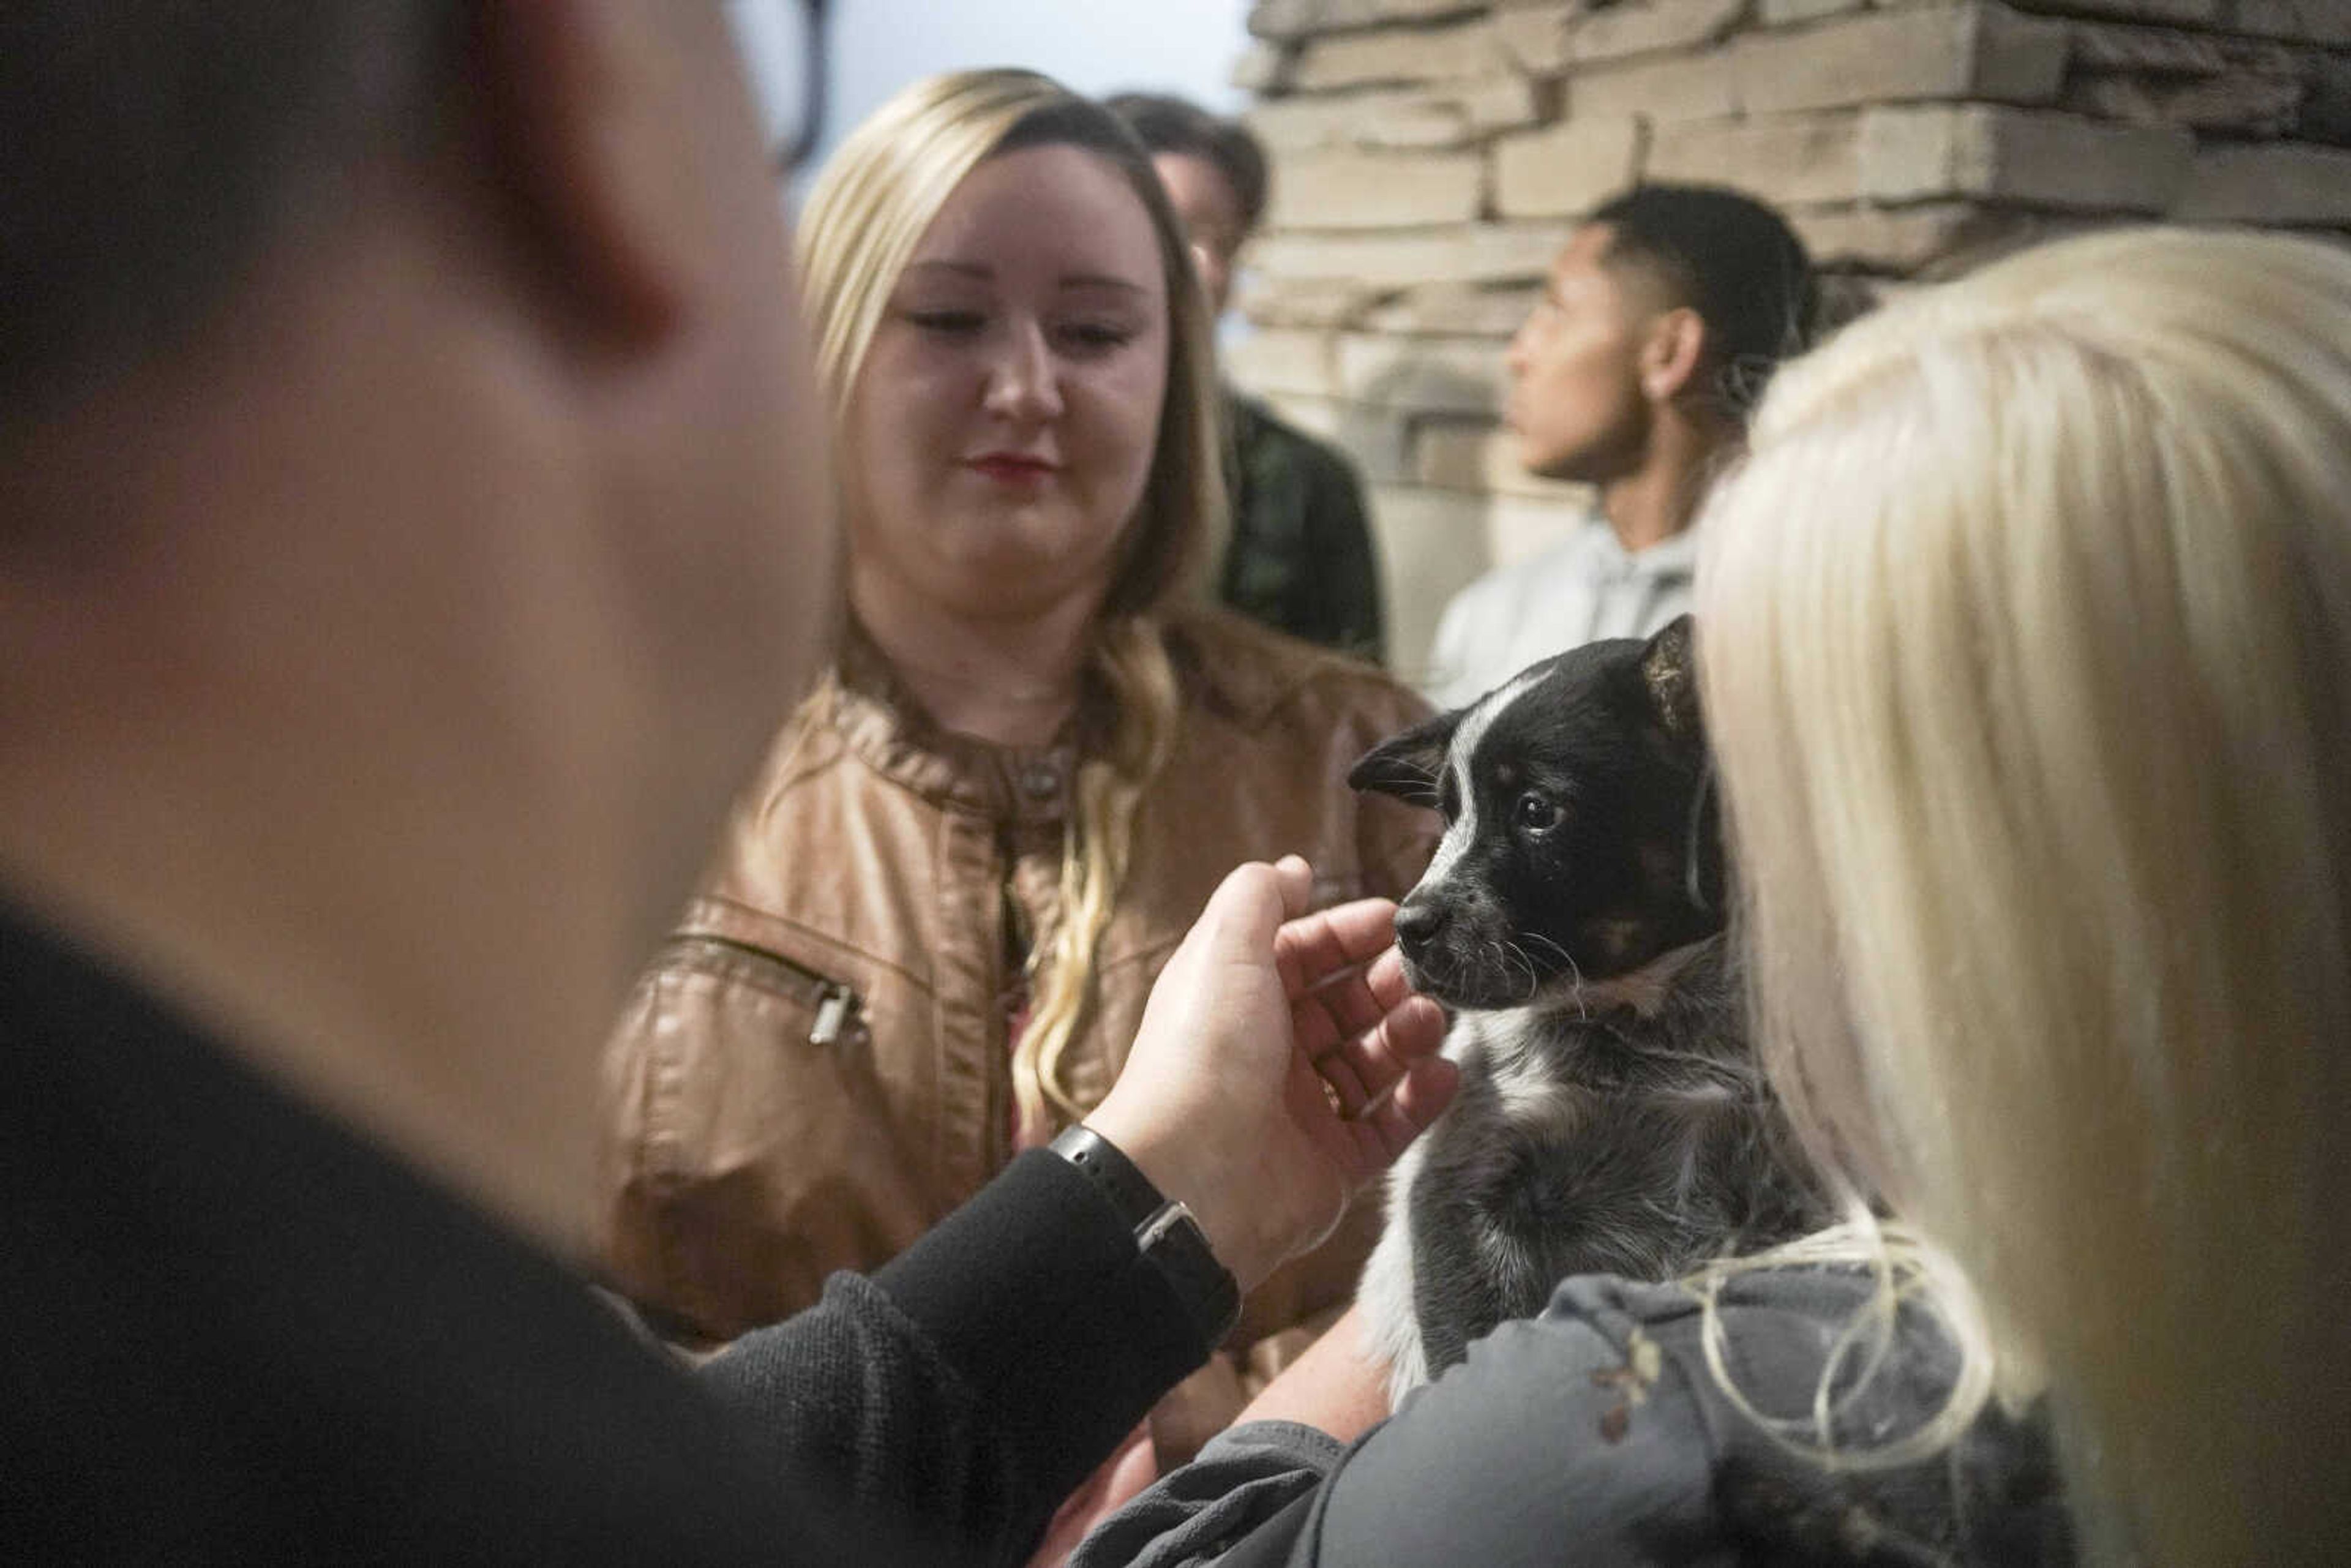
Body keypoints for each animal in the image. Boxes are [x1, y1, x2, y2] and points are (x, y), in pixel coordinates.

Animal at [1344, 620, 1815, 1401]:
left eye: (1537, 811)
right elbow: (1465, 1340)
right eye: (1447, 815)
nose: (1406, 927)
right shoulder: (1460, 1187)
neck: (1648, 1020)